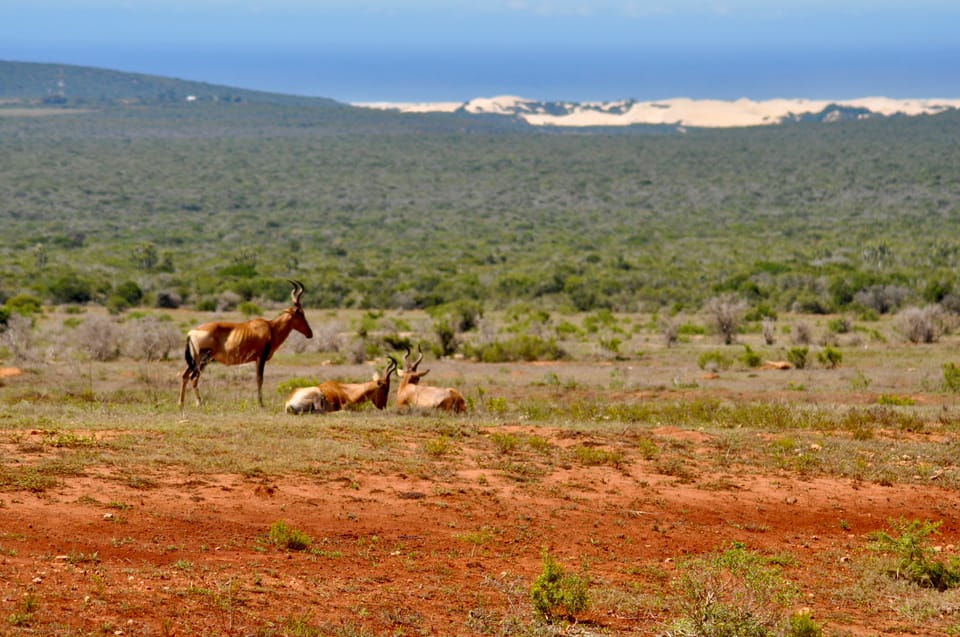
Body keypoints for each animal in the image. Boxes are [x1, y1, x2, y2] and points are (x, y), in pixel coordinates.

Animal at [178, 278, 314, 408]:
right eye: (300, 313)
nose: (310, 333)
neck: (270, 327)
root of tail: (191, 332)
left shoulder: (257, 359)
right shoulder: (261, 357)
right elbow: (259, 379)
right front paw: (261, 404)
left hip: (195, 361)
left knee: (185, 376)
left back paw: (181, 404)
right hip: (203, 359)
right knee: (193, 377)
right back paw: (199, 403)